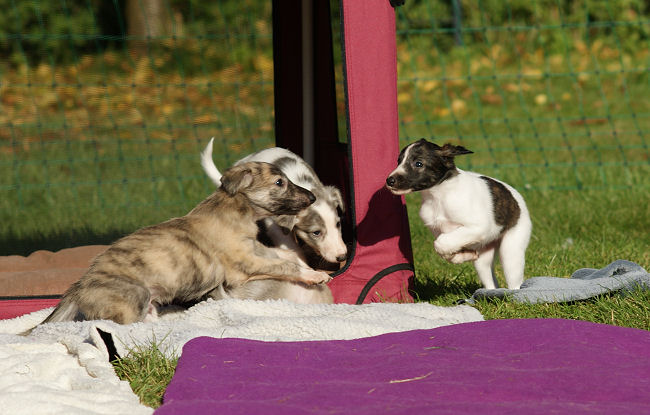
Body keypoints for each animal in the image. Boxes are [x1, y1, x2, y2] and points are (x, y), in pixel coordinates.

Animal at [36, 161, 330, 326]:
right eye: (280, 182)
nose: (312, 198)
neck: (233, 210)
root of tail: (78, 287)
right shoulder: (243, 264)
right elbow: (284, 266)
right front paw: (315, 275)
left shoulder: (254, 249)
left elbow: (283, 257)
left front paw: (315, 270)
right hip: (133, 294)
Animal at [384, 140, 528, 290]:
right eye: (399, 161)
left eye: (418, 163)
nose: (390, 181)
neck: (438, 196)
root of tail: (516, 196)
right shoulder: (439, 229)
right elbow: (447, 253)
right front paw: (465, 256)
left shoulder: (480, 227)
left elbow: (441, 243)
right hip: (483, 261)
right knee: (491, 282)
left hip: (511, 252)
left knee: (515, 283)